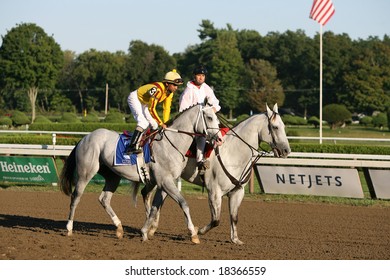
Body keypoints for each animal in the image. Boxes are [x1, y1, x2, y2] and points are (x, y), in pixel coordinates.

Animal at [59, 104, 221, 243]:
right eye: (209, 117)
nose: (219, 138)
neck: (171, 144)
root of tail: (85, 138)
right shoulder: (165, 181)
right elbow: (183, 203)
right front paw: (193, 233)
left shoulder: (164, 183)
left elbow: (154, 208)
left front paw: (145, 232)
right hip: (86, 173)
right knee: (76, 197)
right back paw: (69, 228)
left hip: (113, 176)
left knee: (104, 199)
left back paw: (119, 228)